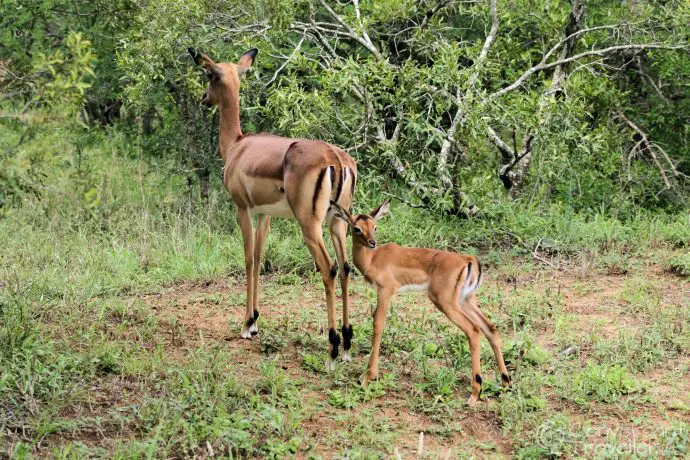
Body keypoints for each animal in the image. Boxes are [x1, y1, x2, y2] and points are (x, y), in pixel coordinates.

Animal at [328, 199, 510, 404]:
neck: (372, 259)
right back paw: (505, 383)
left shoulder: (385, 292)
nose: (372, 242)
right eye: (357, 228)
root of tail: (467, 260)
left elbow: (378, 325)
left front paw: (368, 377)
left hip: (445, 302)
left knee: (473, 330)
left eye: (375, 226)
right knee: (490, 327)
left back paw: (474, 393)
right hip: (466, 301)